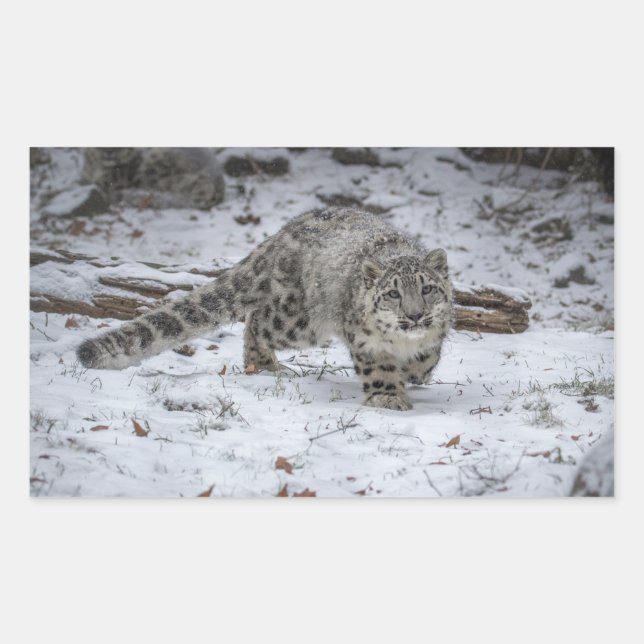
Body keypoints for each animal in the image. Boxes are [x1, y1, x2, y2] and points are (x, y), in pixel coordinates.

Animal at [77, 207, 453, 411]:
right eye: (392, 293)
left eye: (427, 288)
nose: (415, 315)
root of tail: (282, 232)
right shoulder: (365, 341)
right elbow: (378, 368)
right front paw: (389, 398)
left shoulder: (436, 333)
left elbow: (428, 357)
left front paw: (414, 372)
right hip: (299, 322)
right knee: (256, 320)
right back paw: (266, 364)